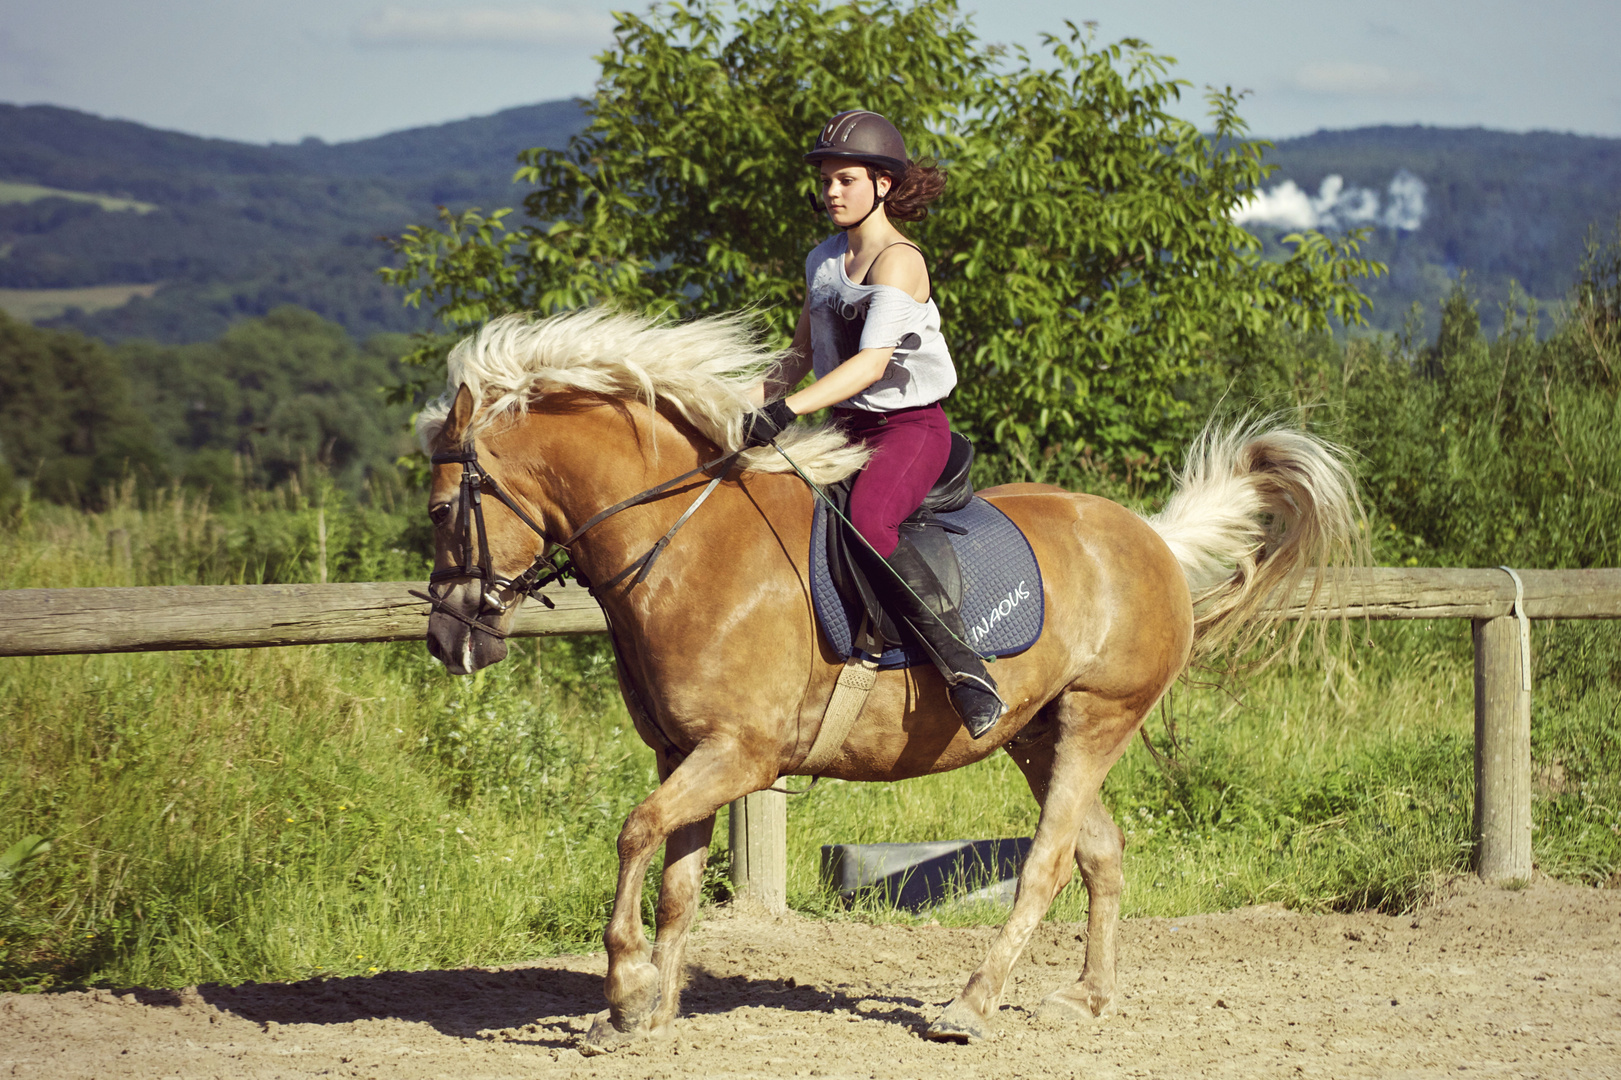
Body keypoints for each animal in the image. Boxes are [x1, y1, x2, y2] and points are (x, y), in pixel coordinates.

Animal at [414, 306, 1355, 1044]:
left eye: (439, 509)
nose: (449, 638)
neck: (685, 548)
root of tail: (1151, 537)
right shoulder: (684, 753)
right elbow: (676, 880)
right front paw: (646, 1013)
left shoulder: (739, 756)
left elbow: (634, 833)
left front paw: (625, 988)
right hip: (1036, 734)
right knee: (1099, 851)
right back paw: (1085, 998)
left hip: (1098, 718)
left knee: (1048, 861)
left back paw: (970, 1006)